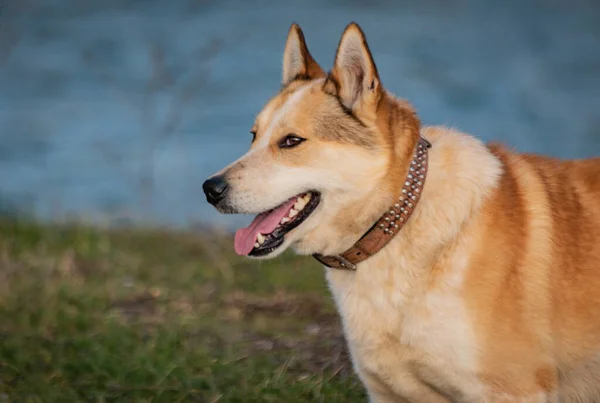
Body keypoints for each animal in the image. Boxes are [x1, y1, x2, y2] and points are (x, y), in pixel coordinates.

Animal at [203, 22, 600, 403]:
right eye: (253, 136)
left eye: (291, 141)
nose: (210, 189)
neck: (395, 221)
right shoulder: (391, 394)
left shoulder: (514, 389)